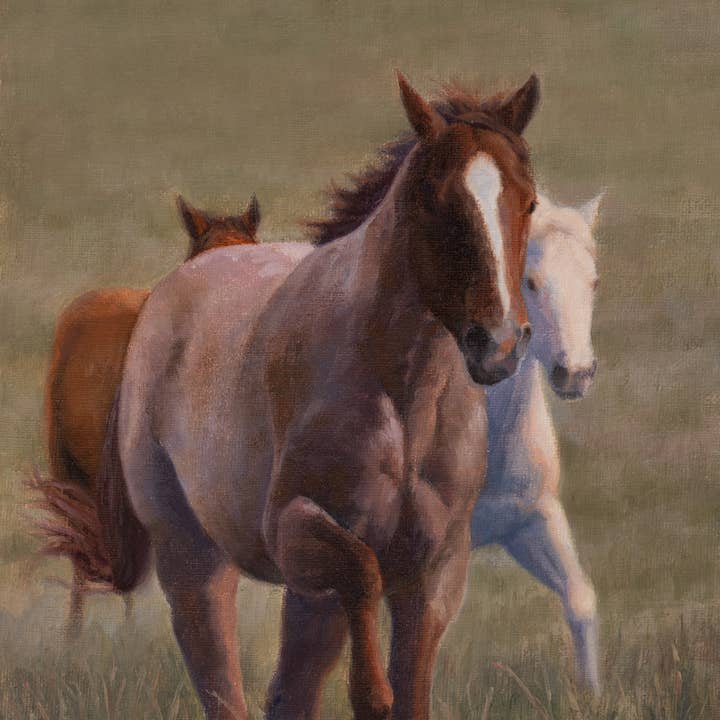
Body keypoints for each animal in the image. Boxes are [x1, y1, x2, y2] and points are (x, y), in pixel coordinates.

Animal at [94, 72, 540, 720]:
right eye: (432, 201)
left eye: (529, 202)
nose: (500, 344)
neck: (402, 403)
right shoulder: (296, 533)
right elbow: (362, 572)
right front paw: (370, 693)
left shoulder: (435, 573)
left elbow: (411, 687)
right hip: (192, 557)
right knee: (218, 673)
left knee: (290, 690)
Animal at [472, 192, 603, 693]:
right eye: (529, 282)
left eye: (593, 281)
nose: (575, 374)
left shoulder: (533, 520)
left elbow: (581, 602)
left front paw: (592, 699)